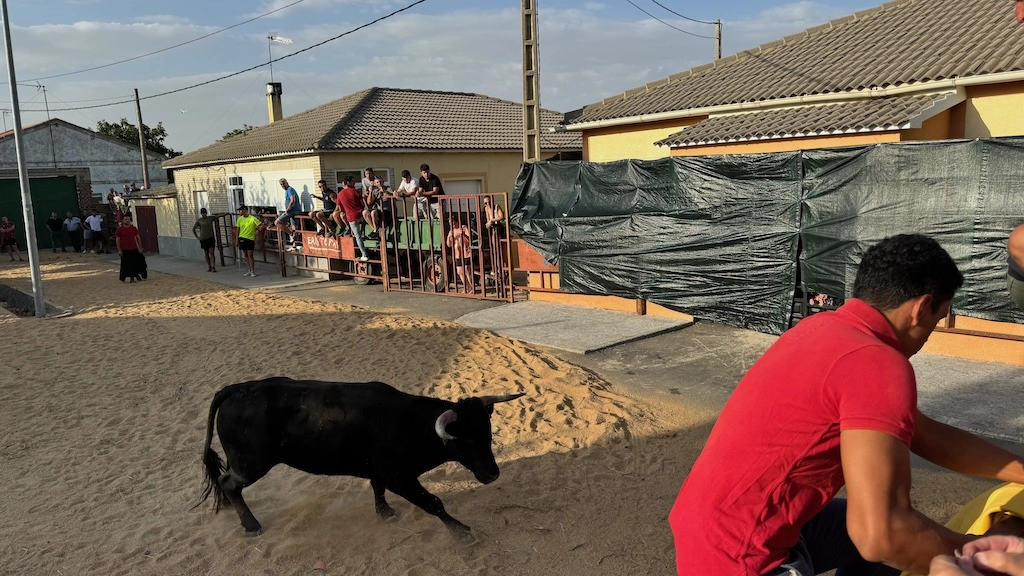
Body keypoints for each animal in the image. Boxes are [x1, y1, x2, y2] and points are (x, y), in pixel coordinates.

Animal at [197, 377, 524, 539]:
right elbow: (433, 502)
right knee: (229, 483)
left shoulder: (379, 471)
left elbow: (376, 488)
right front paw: (462, 532)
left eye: (488, 433)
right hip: (250, 463)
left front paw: (385, 513)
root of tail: (235, 390)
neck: (410, 424)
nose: (492, 474)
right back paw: (251, 525)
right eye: (465, 439)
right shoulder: (398, 476)